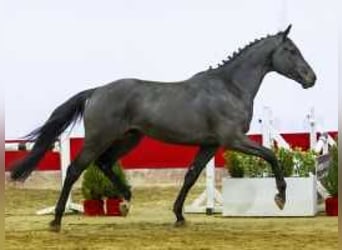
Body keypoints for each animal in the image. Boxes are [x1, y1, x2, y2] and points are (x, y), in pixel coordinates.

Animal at [10, 24, 316, 231]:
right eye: (291, 50)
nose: (311, 78)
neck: (229, 87)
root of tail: (96, 92)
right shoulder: (233, 139)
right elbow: (271, 155)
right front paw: (280, 198)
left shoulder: (210, 144)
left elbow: (190, 175)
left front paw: (179, 216)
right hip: (100, 138)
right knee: (76, 169)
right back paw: (57, 220)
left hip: (129, 138)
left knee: (105, 163)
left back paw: (126, 200)